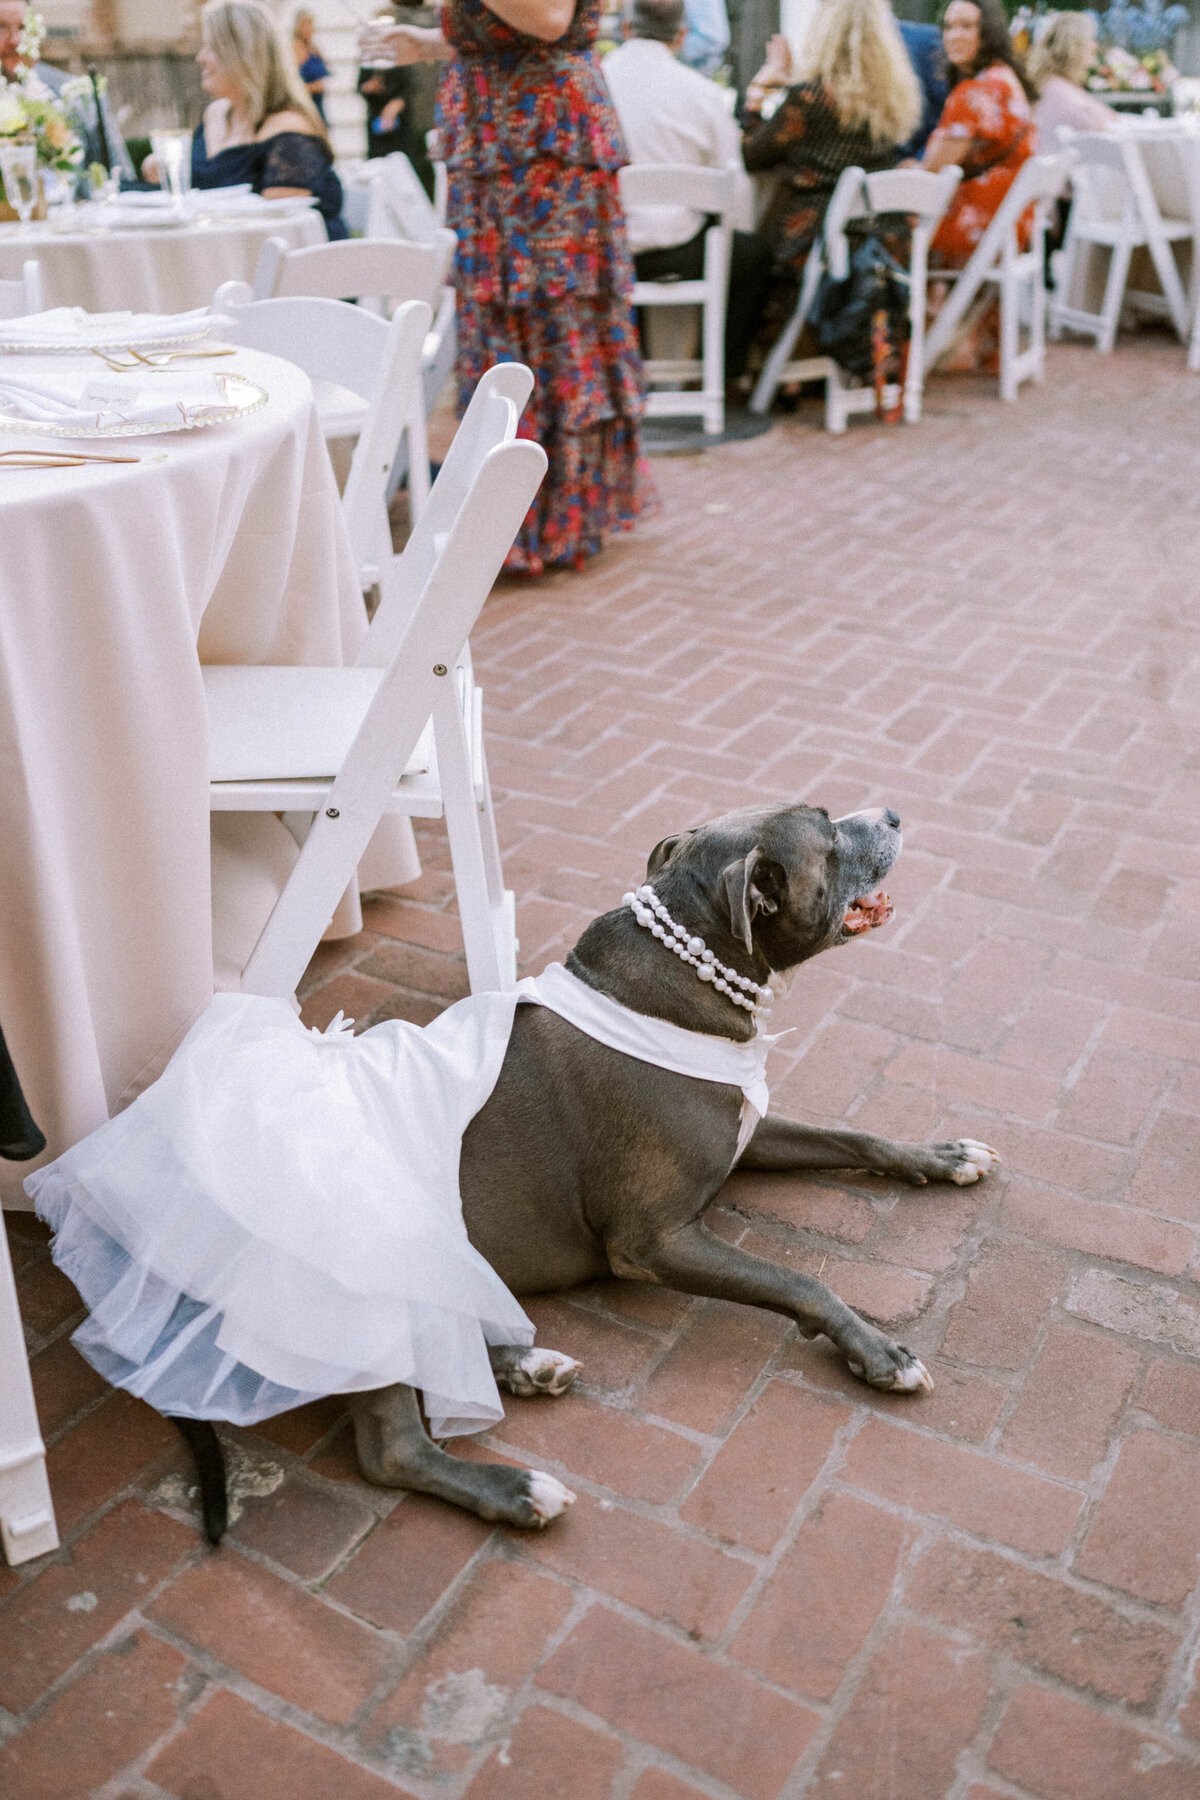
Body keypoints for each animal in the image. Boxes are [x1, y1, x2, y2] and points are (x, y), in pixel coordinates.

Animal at [341, 806, 1000, 1533]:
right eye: (827, 829)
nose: (891, 814)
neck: (675, 982)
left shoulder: (749, 1133)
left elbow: (852, 1137)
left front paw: (940, 1157)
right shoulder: (654, 1243)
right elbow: (801, 1281)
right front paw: (879, 1351)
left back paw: (525, 1365)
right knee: (392, 1451)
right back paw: (516, 1488)